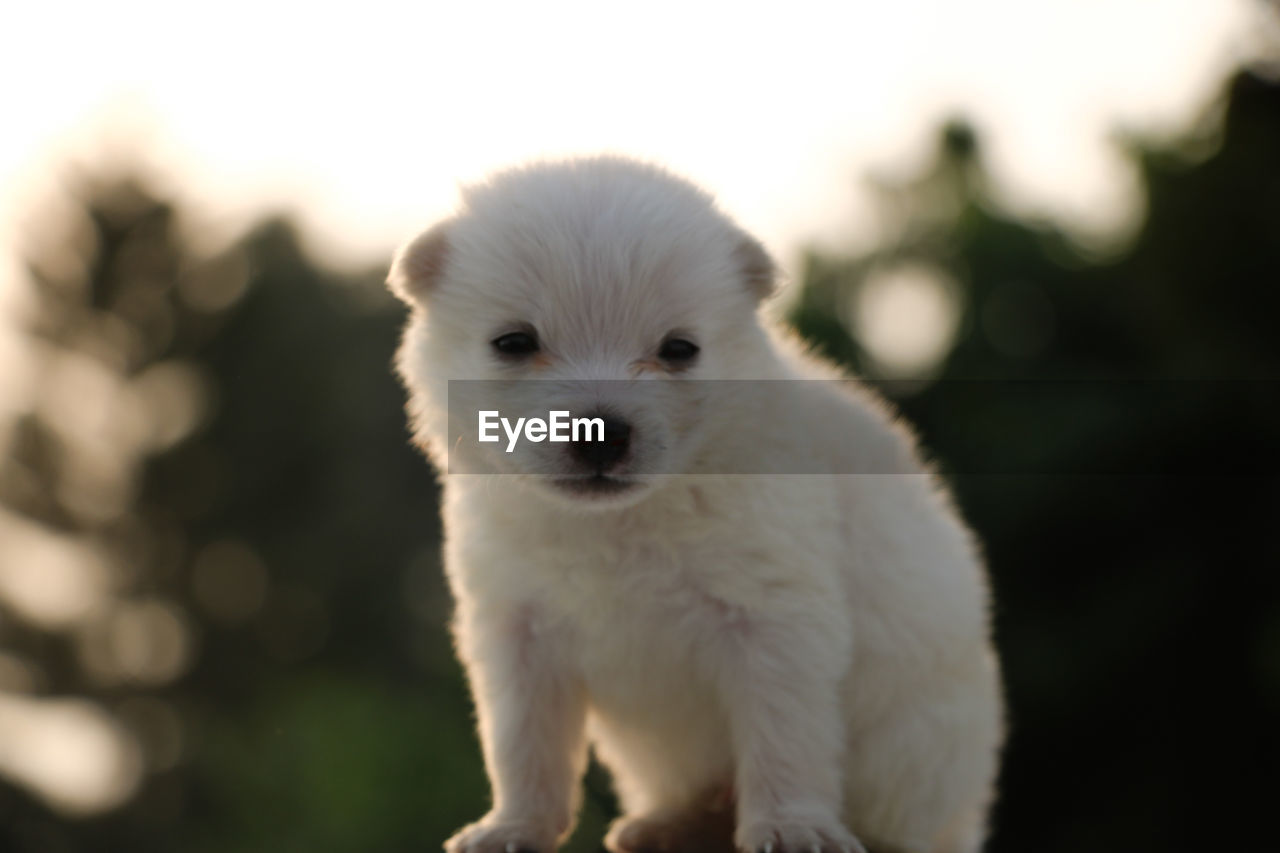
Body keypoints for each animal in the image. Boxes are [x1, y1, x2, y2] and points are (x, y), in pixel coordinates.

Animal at [384, 157, 1003, 850]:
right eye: (515, 342)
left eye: (678, 349)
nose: (601, 433)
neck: (618, 526)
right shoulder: (517, 629)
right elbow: (523, 744)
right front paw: (514, 826)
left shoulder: (775, 617)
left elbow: (783, 736)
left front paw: (791, 827)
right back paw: (667, 823)